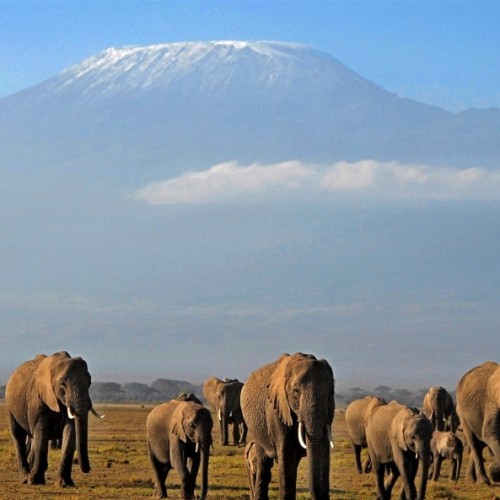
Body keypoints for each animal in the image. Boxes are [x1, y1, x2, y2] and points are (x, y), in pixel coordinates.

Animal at [4, 350, 102, 486]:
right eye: (62, 384)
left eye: (89, 383)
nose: (87, 469)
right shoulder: (36, 399)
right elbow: (41, 431)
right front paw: (34, 481)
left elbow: (70, 432)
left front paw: (65, 484)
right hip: (10, 407)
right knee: (18, 435)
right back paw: (25, 479)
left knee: (33, 437)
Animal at [240, 354, 334, 498]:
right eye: (296, 391)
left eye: (331, 393)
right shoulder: (275, 408)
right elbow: (286, 451)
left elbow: (323, 448)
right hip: (257, 430)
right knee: (264, 466)